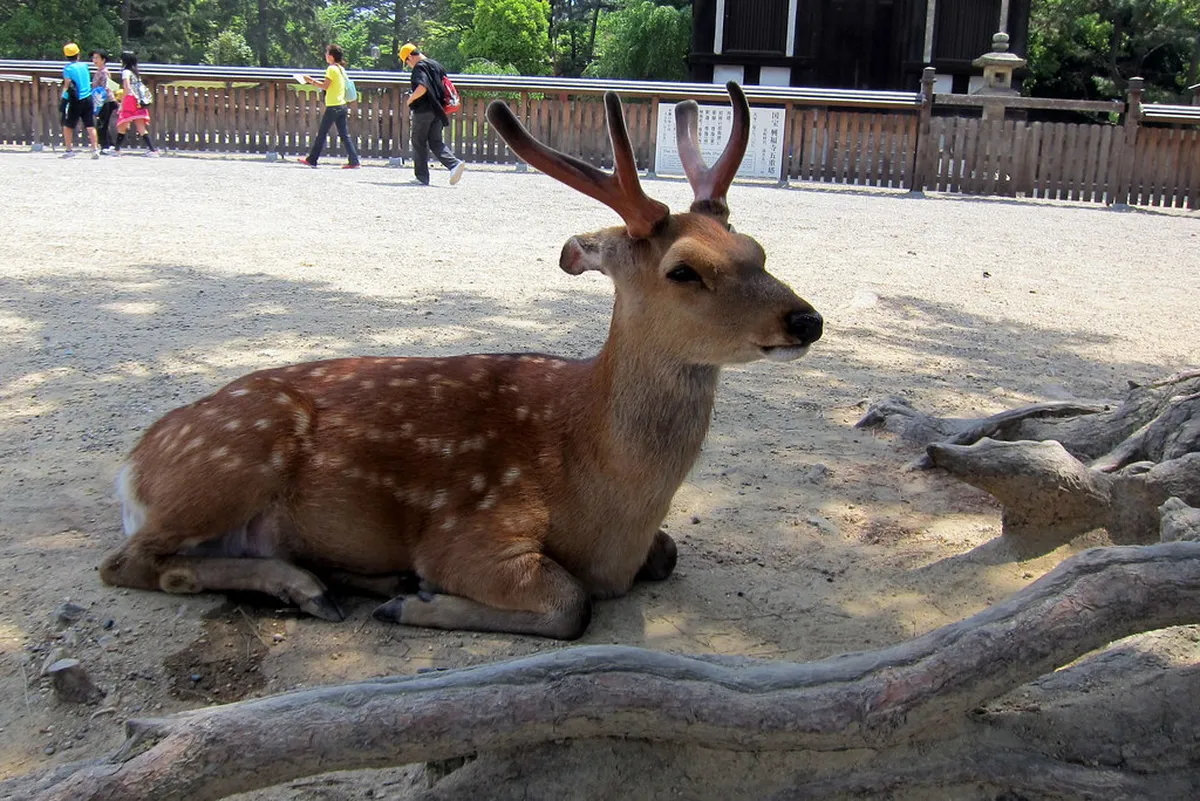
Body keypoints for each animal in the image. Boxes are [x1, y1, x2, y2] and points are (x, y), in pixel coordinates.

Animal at [99, 83, 823, 640]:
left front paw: (400, 593)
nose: (806, 319)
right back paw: (316, 585)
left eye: (758, 250)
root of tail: (133, 465)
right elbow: (571, 603)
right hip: (232, 458)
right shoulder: (471, 527)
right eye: (684, 271)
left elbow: (665, 555)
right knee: (127, 563)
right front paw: (415, 600)